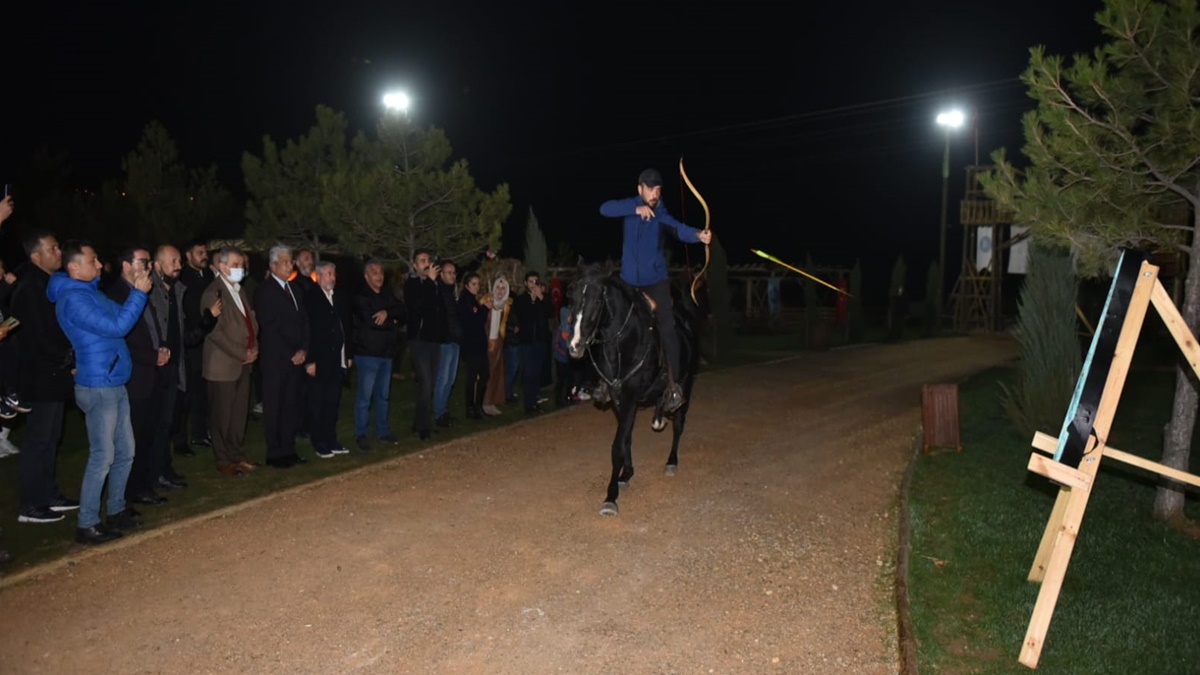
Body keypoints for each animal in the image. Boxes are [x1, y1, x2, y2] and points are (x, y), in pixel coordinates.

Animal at [564, 258, 700, 514]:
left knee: (679, 424)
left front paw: (610, 497)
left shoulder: (629, 397)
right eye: (573, 297)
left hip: (686, 384)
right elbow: (625, 437)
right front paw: (626, 474)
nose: (575, 345)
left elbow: (617, 445)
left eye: (598, 299)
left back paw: (672, 460)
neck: (624, 342)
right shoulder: (619, 399)